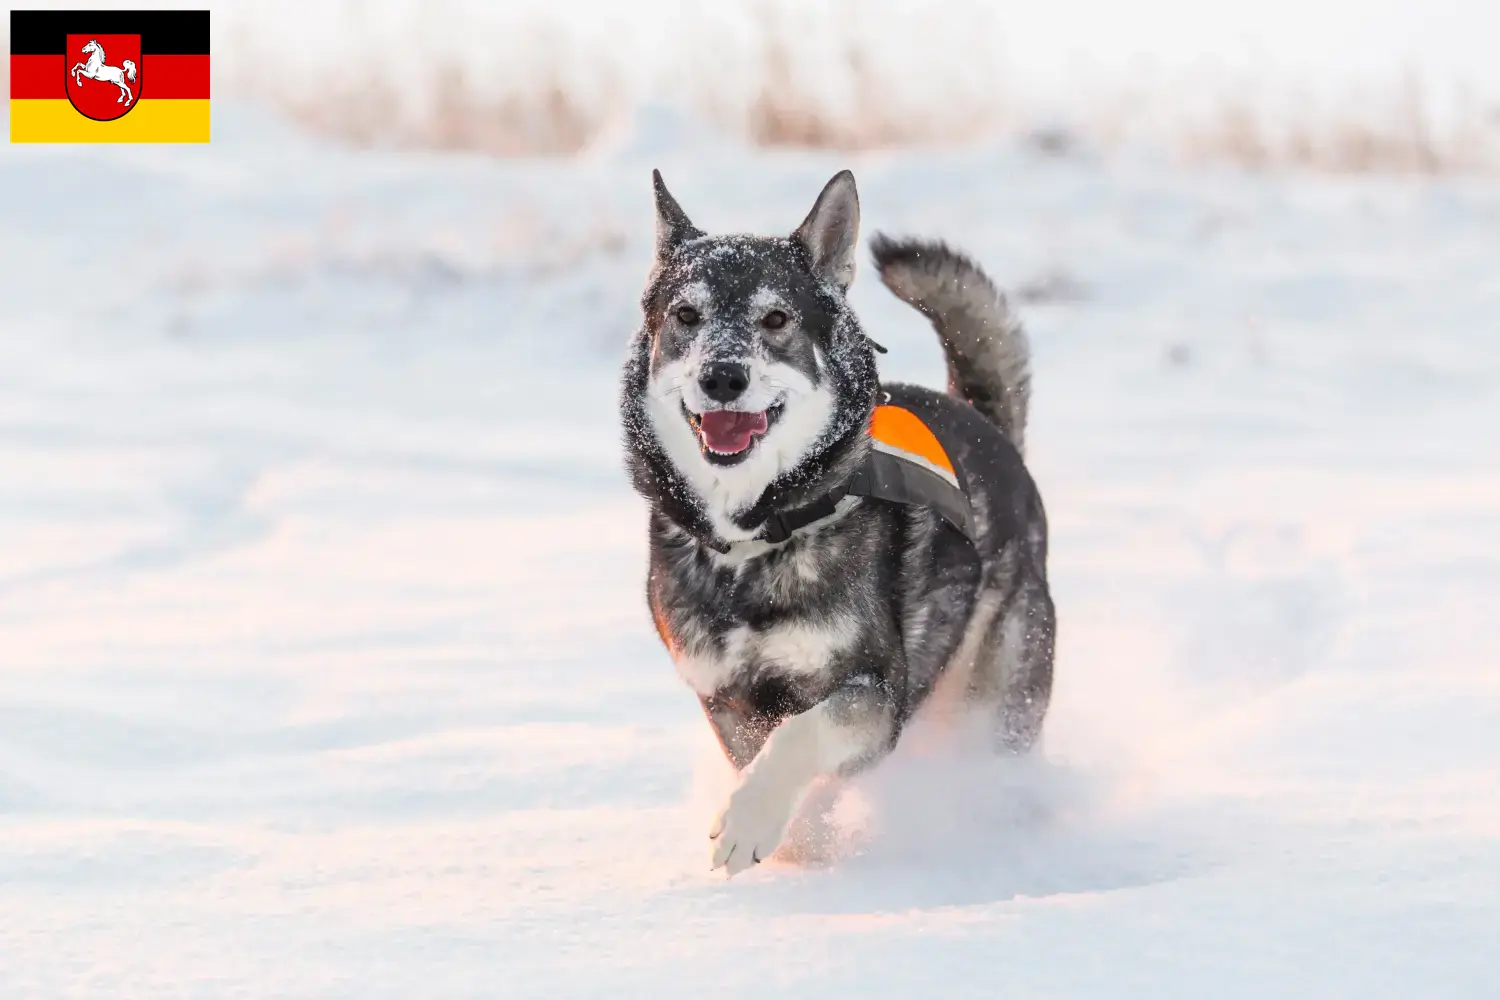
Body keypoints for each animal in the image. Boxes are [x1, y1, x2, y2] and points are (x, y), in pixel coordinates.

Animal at [618, 167, 1056, 869]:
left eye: (776, 318)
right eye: (686, 315)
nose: (722, 377)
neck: (753, 538)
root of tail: (987, 427)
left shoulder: (874, 689)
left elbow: (803, 736)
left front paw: (752, 821)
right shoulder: (727, 701)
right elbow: (772, 759)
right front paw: (796, 840)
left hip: (996, 695)